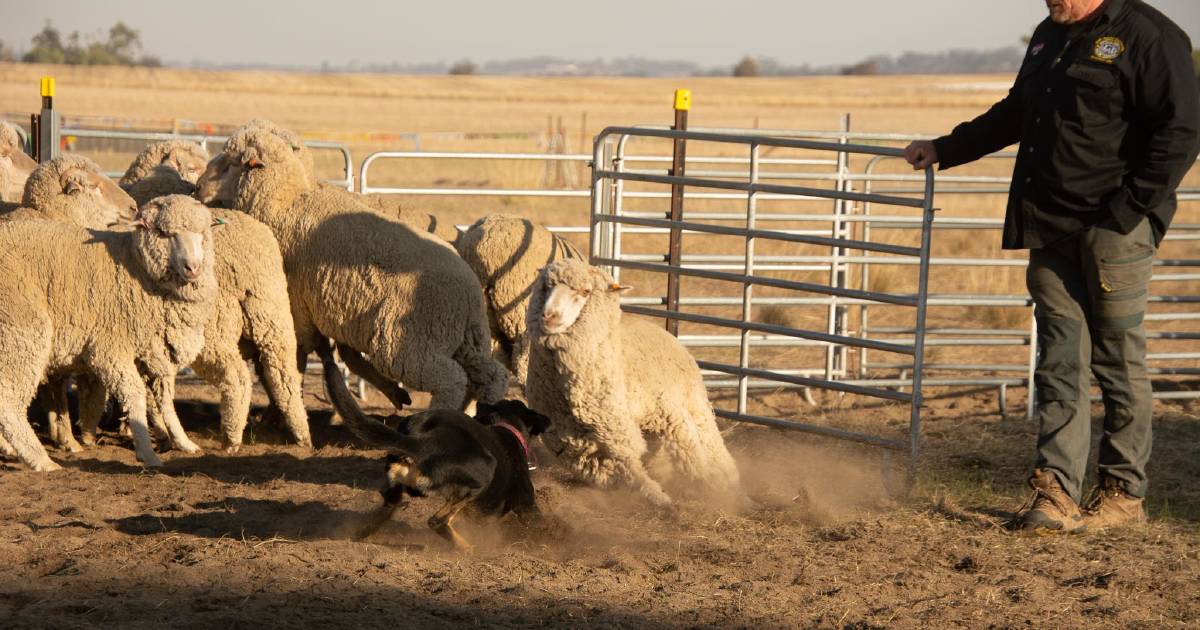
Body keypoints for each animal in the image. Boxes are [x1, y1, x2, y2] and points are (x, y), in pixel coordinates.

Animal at [0, 194, 218, 468]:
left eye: (202, 234)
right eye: (164, 233)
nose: (193, 267)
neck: (134, 265)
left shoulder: (156, 352)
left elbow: (165, 401)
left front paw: (183, 442)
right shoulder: (110, 349)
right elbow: (135, 396)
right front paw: (147, 453)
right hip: (23, 334)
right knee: (8, 402)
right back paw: (40, 459)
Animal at [220, 126, 506, 412]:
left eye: (229, 162)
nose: (204, 188)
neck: (285, 201)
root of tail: (470, 296)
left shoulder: (298, 307)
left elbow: (299, 356)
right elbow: (344, 355)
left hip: (406, 344)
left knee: (453, 380)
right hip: (469, 341)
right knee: (491, 376)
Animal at [350, 398, 549, 549]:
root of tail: (424, 440)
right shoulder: (526, 505)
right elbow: (543, 526)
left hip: (396, 484)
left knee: (388, 506)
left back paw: (360, 533)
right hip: (482, 475)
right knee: (437, 521)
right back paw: (469, 549)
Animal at [530, 258, 744, 508]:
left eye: (585, 292)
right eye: (546, 287)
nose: (548, 316)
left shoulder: (670, 415)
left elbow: (693, 460)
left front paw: (715, 493)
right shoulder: (580, 444)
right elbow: (629, 472)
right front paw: (658, 497)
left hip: (694, 404)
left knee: (712, 447)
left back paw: (732, 485)